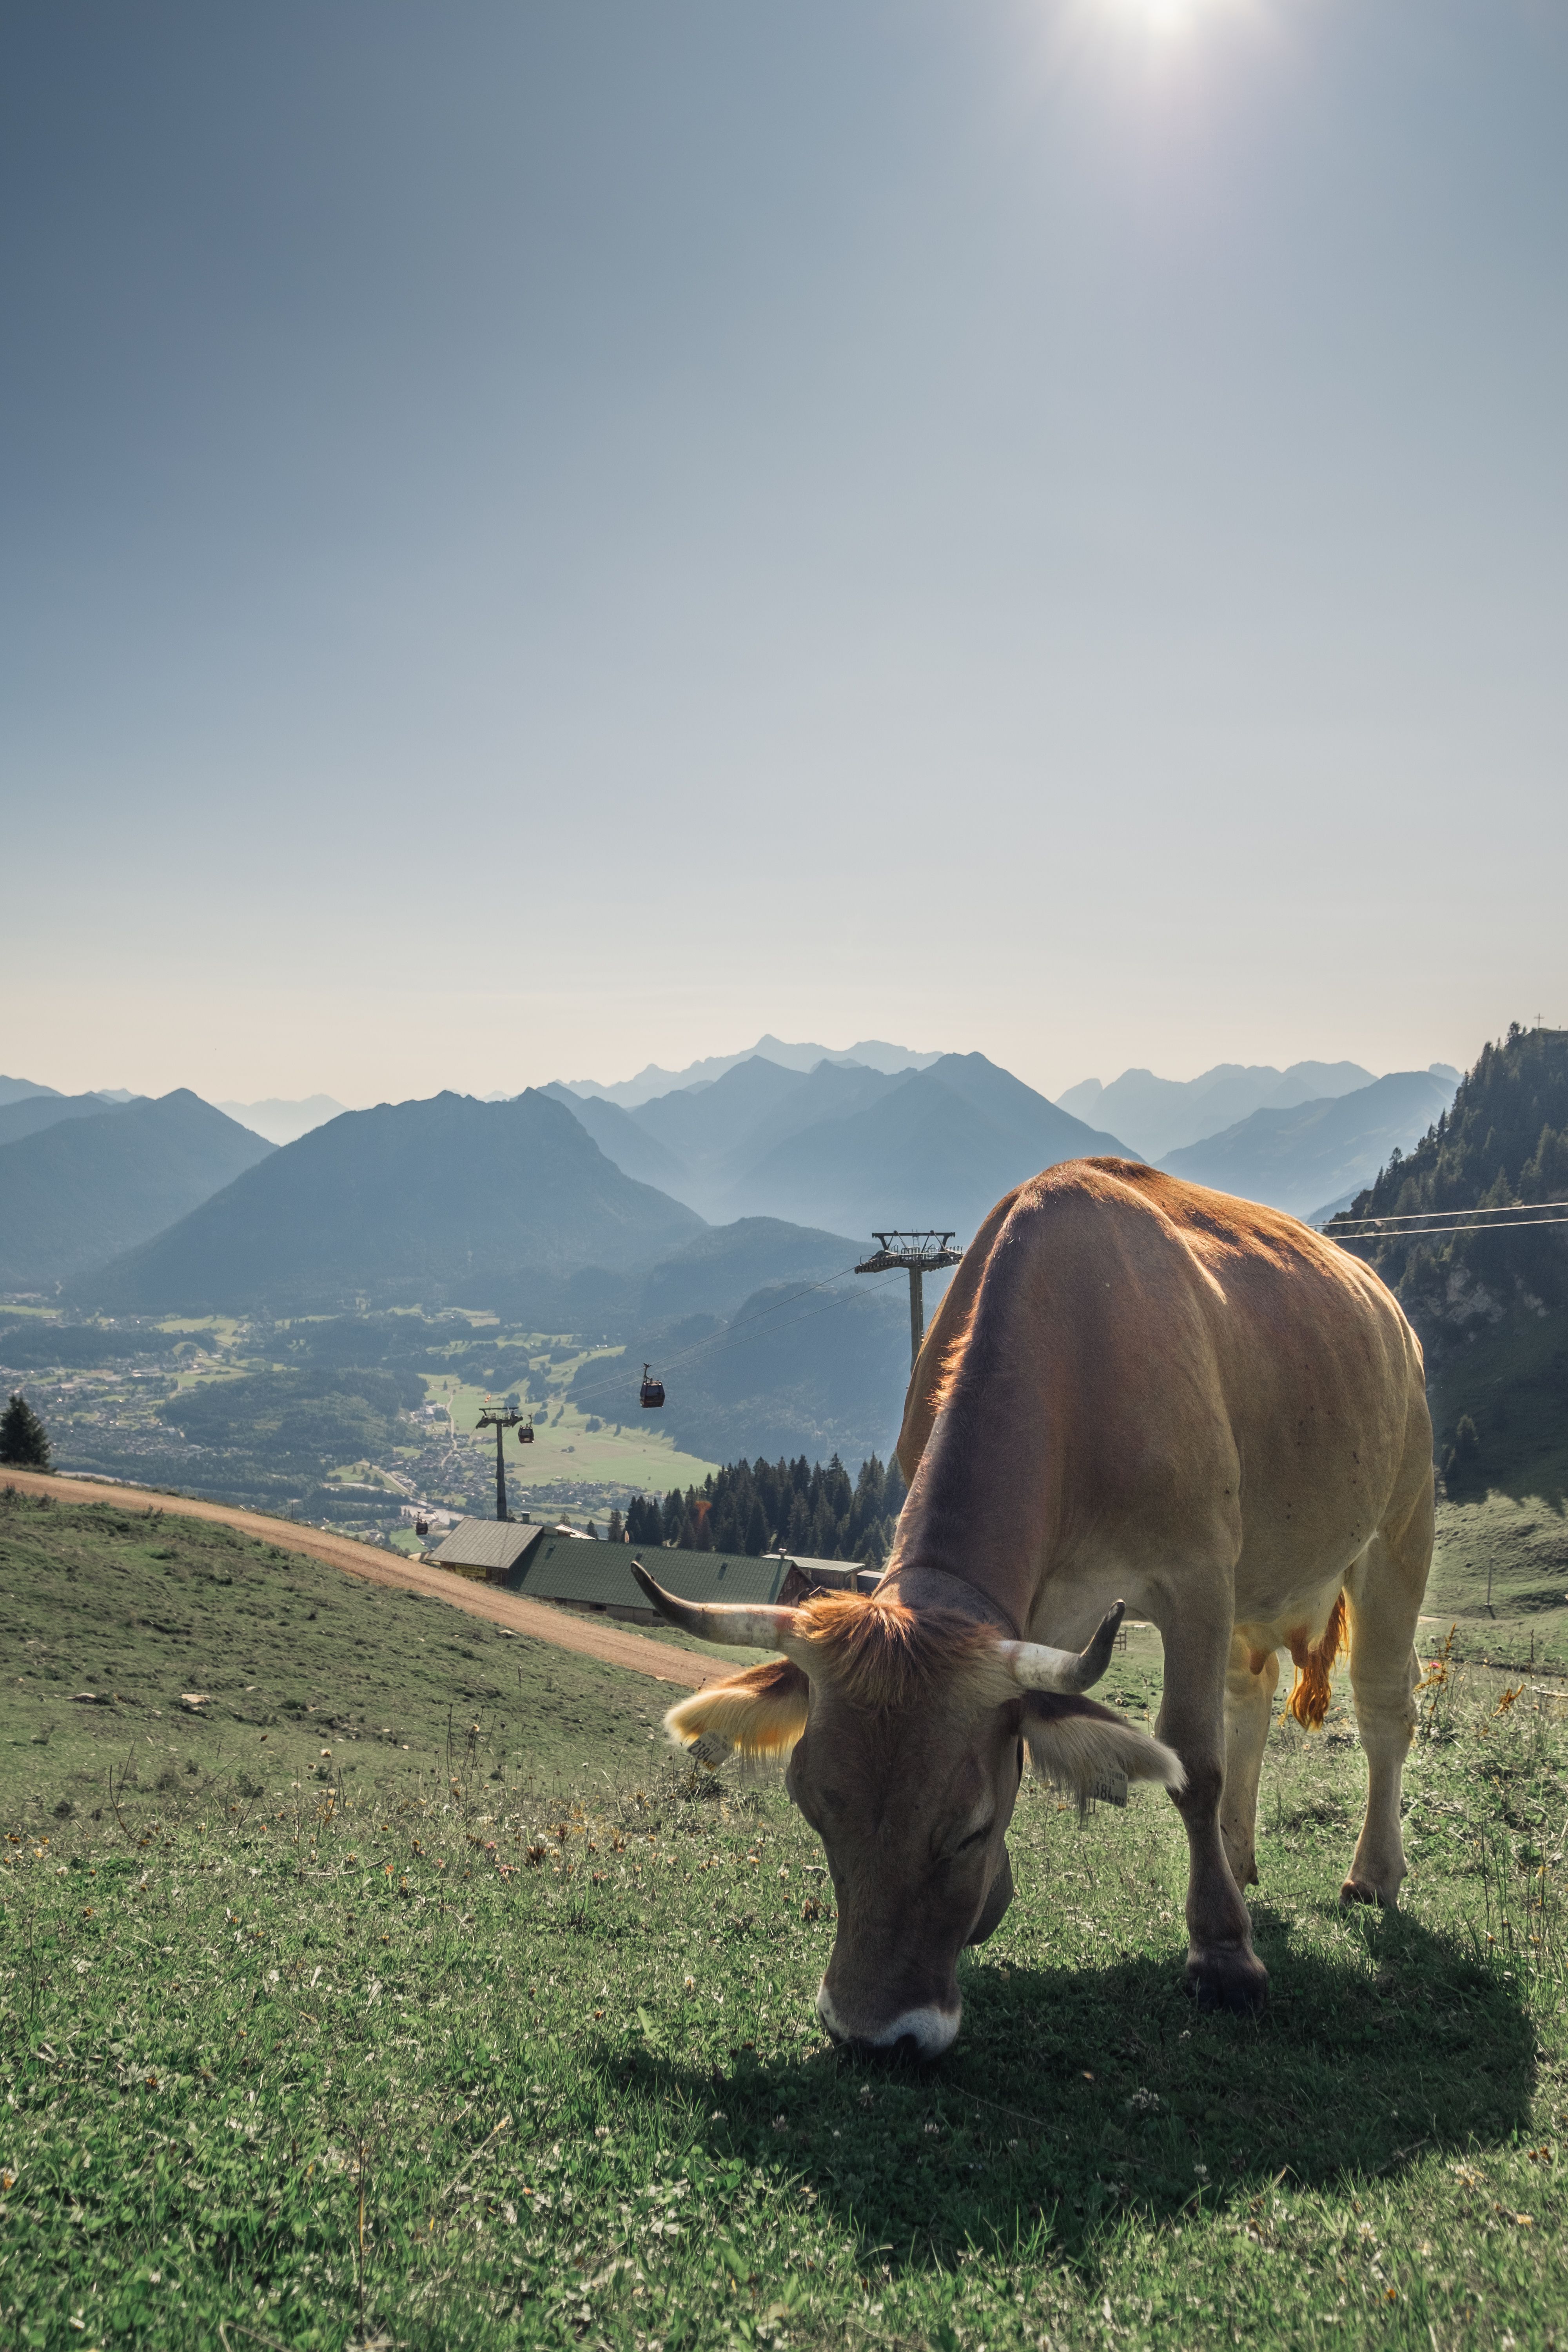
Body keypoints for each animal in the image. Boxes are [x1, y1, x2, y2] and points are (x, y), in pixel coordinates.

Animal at [633, 1159, 1434, 2058]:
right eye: (813, 1809)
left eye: (970, 1829)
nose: (874, 2034)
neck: (1075, 1352)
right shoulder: (1046, 1602)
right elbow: (1035, 1731)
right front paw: (997, 1903)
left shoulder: (1194, 1575)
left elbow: (1192, 1760)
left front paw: (1224, 1956)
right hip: (1256, 1578)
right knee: (1249, 1699)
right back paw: (1237, 1856)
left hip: (1399, 1525)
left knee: (1381, 1707)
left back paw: (1372, 1874)